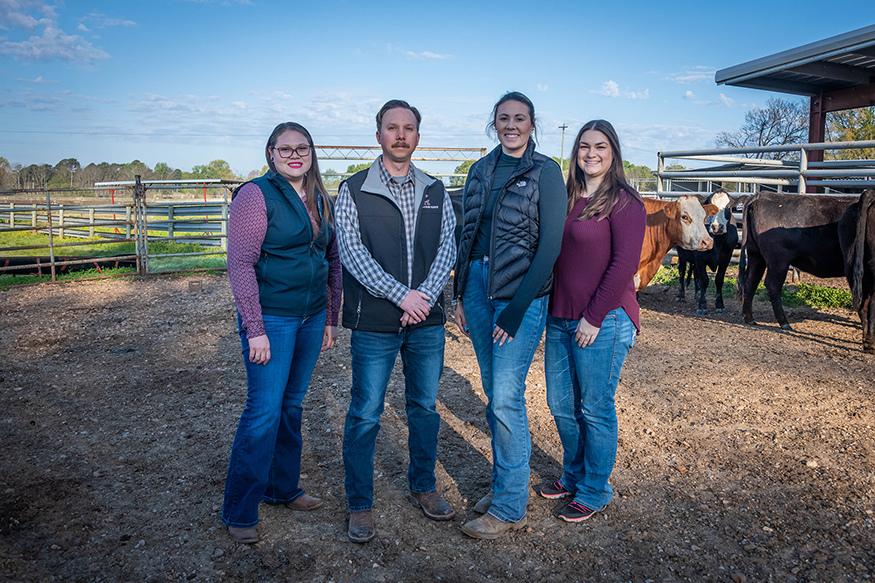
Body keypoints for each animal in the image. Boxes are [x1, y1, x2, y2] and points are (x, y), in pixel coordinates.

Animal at [736, 192, 860, 328]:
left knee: (751, 281)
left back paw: (750, 318)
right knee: (772, 285)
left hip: (756, 255)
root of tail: (762, 195)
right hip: (778, 260)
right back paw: (784, 322)